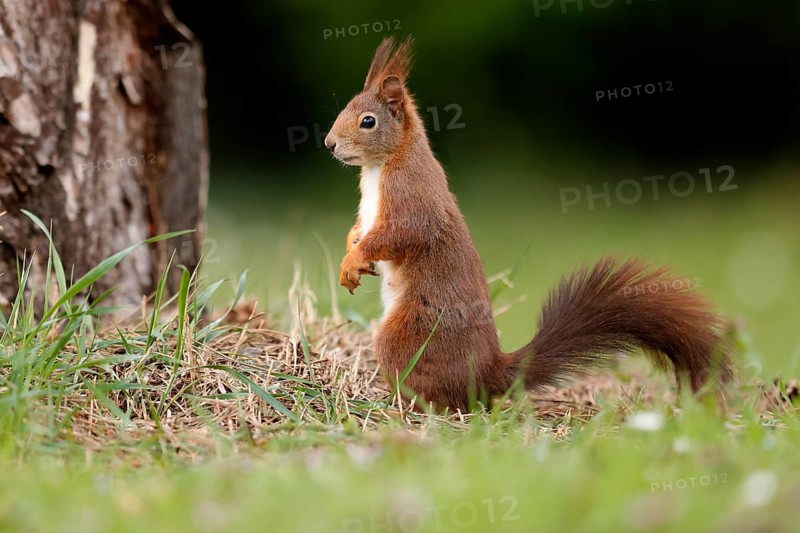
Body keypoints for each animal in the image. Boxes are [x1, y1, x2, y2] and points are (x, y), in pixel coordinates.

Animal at [324, 36, 733, 412]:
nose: (328, 144)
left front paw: (352, 261)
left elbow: (400, 235)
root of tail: (487, 373)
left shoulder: (412, 198)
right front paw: (352, 251)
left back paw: (401, 404)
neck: (380, 167)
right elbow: (360, 230)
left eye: (368, 121)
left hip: (407, 337)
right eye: (343, 109)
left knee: (439, 396)